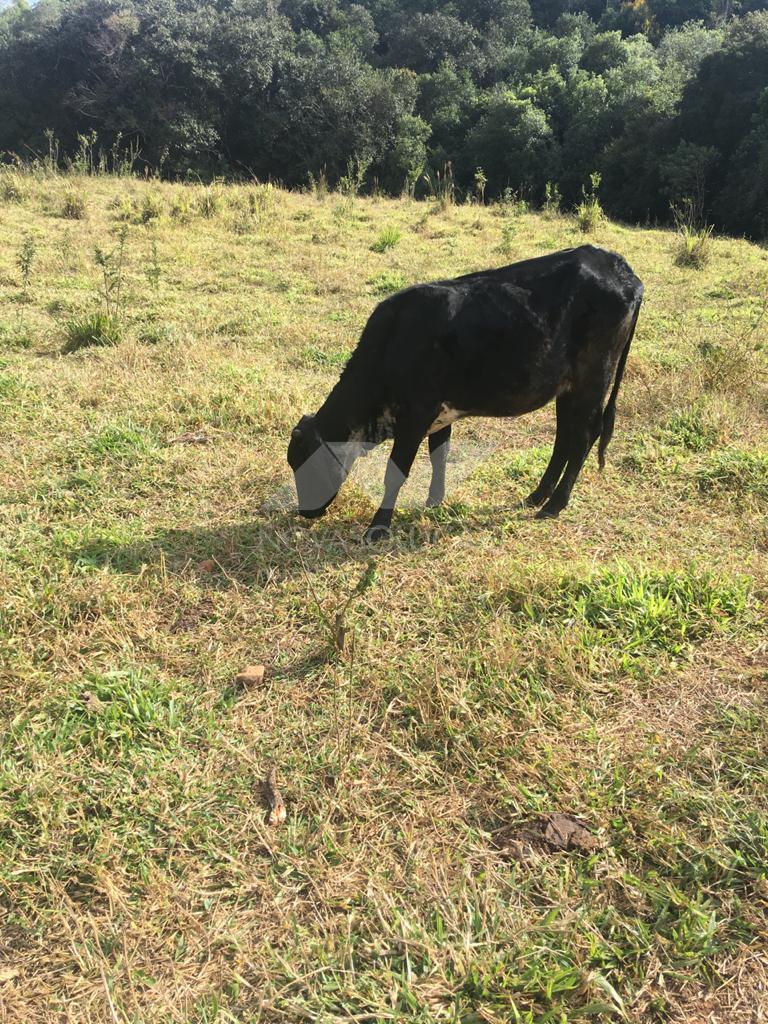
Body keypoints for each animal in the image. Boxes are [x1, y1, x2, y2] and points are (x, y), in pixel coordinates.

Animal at [288, 244, 643, 544]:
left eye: (307, 463)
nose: (306, 512)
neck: (394, 340)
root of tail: (620, 268)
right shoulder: (440, 413)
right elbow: (439, 456)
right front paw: (434, 500)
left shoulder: (416, 414)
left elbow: (396, 472)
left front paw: (378, 527)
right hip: (567, 388)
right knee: (564, 438)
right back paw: (536, 496)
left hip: (593, 379)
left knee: (583, 437)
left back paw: (554, 504)